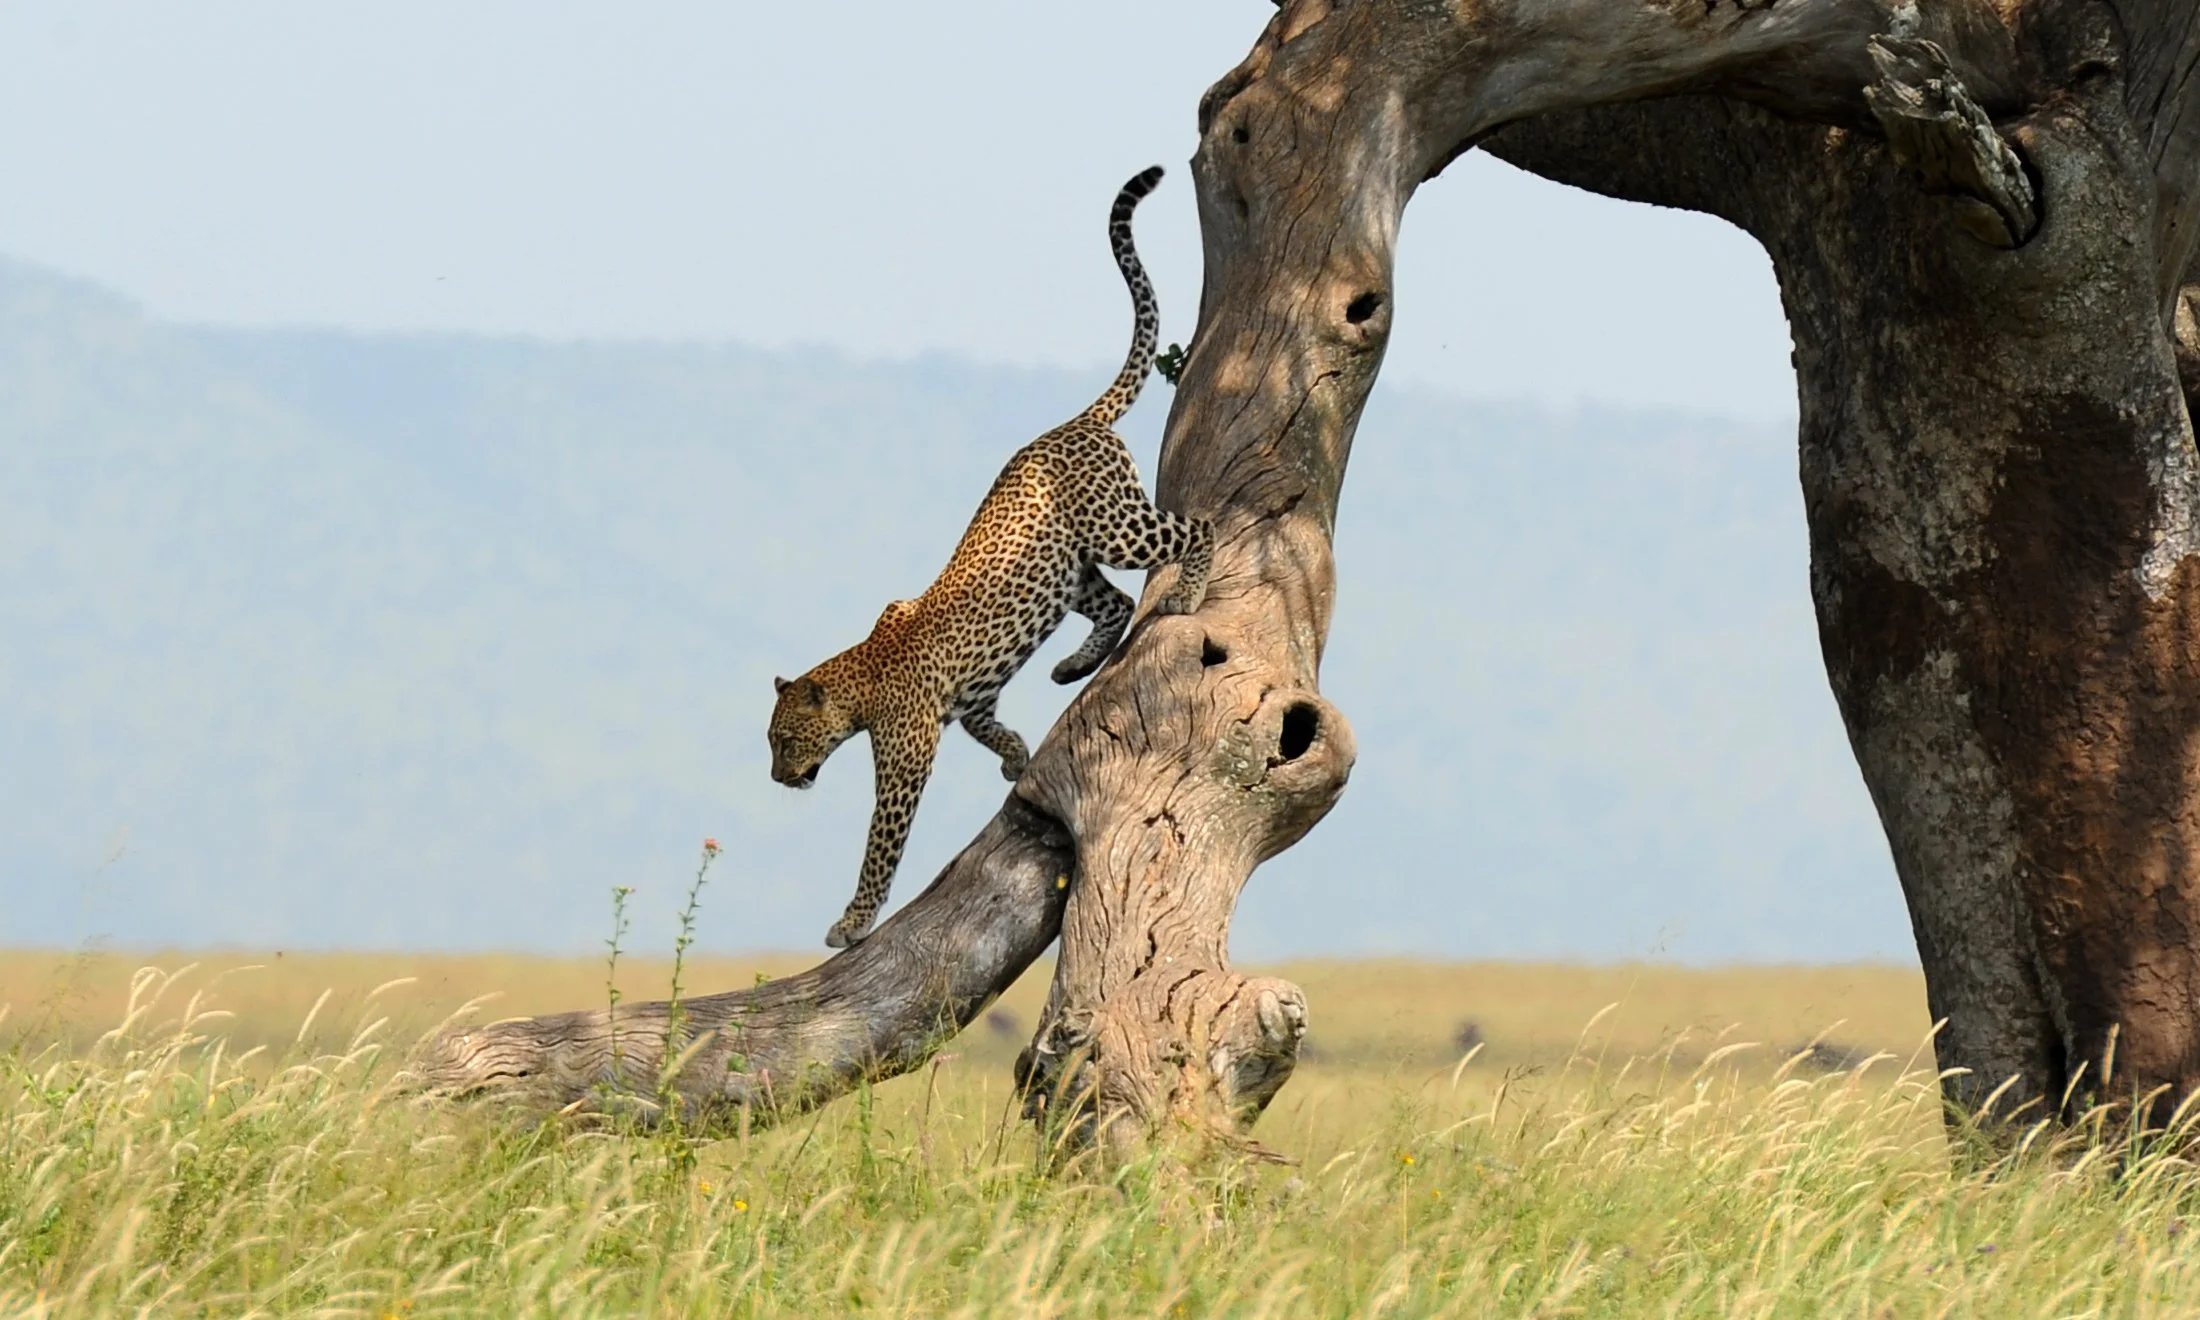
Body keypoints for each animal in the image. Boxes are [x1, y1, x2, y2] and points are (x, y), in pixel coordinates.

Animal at [768, 164, 1213, 949]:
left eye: (786, 738)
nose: (774, 777)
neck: (859, 680)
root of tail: (1071, 424)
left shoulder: (907, 759)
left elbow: (880, 846)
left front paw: (852, 922)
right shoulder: (972, 702)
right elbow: (991, 727)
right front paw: (1015, 758)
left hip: (1118, 528)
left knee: (1197, 528)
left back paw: (1189, 589)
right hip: (1065, 571)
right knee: (1116, 604)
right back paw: (1071, 667)